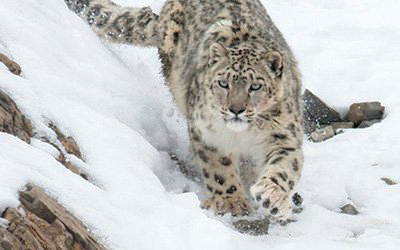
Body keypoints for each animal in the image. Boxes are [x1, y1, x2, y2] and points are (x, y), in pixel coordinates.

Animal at [65, 0, 304, 221]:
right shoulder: (206, 133)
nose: (236, 109)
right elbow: (219, 169)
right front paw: (231, 201)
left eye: (255, 86)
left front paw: (273, 198)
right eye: (223, 83)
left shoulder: (284, 135)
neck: (242, 135)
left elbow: (284, 167)